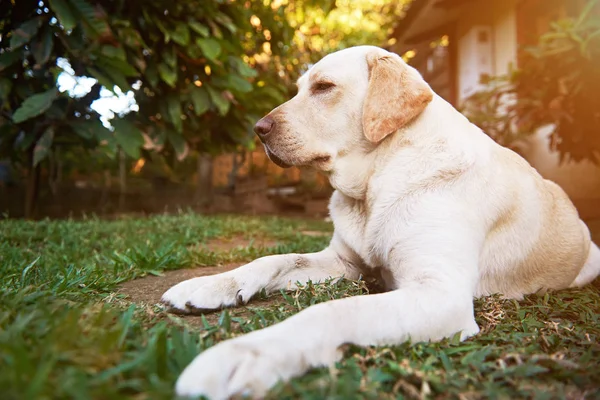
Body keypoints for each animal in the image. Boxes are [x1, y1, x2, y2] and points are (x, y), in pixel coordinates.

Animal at [161, 45, 600, 398]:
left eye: (323, 87)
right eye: (299, 88)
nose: (258, 129)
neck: (378, 179)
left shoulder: (441, 294)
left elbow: (334, 311)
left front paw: (243, 356)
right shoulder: (343, 262)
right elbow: (273, 260)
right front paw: (211, 284)